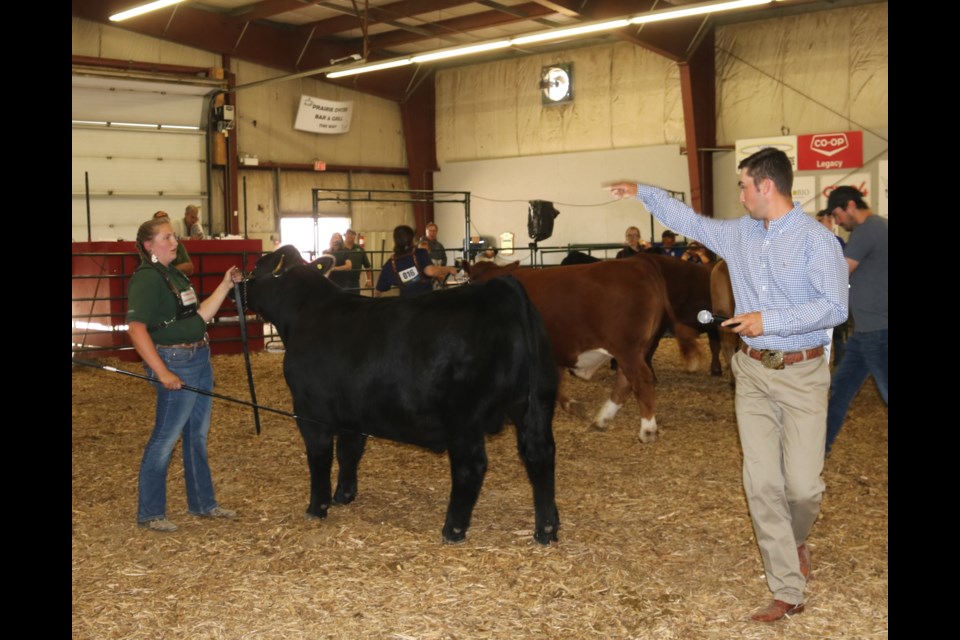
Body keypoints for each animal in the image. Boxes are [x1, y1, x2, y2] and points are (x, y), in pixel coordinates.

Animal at [464, 258, 676, 442]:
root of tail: (638, 264)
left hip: (628, 350)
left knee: (641, 381)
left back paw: (647, 431)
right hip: (635, 350)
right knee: (625, 382)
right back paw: (601, 420)